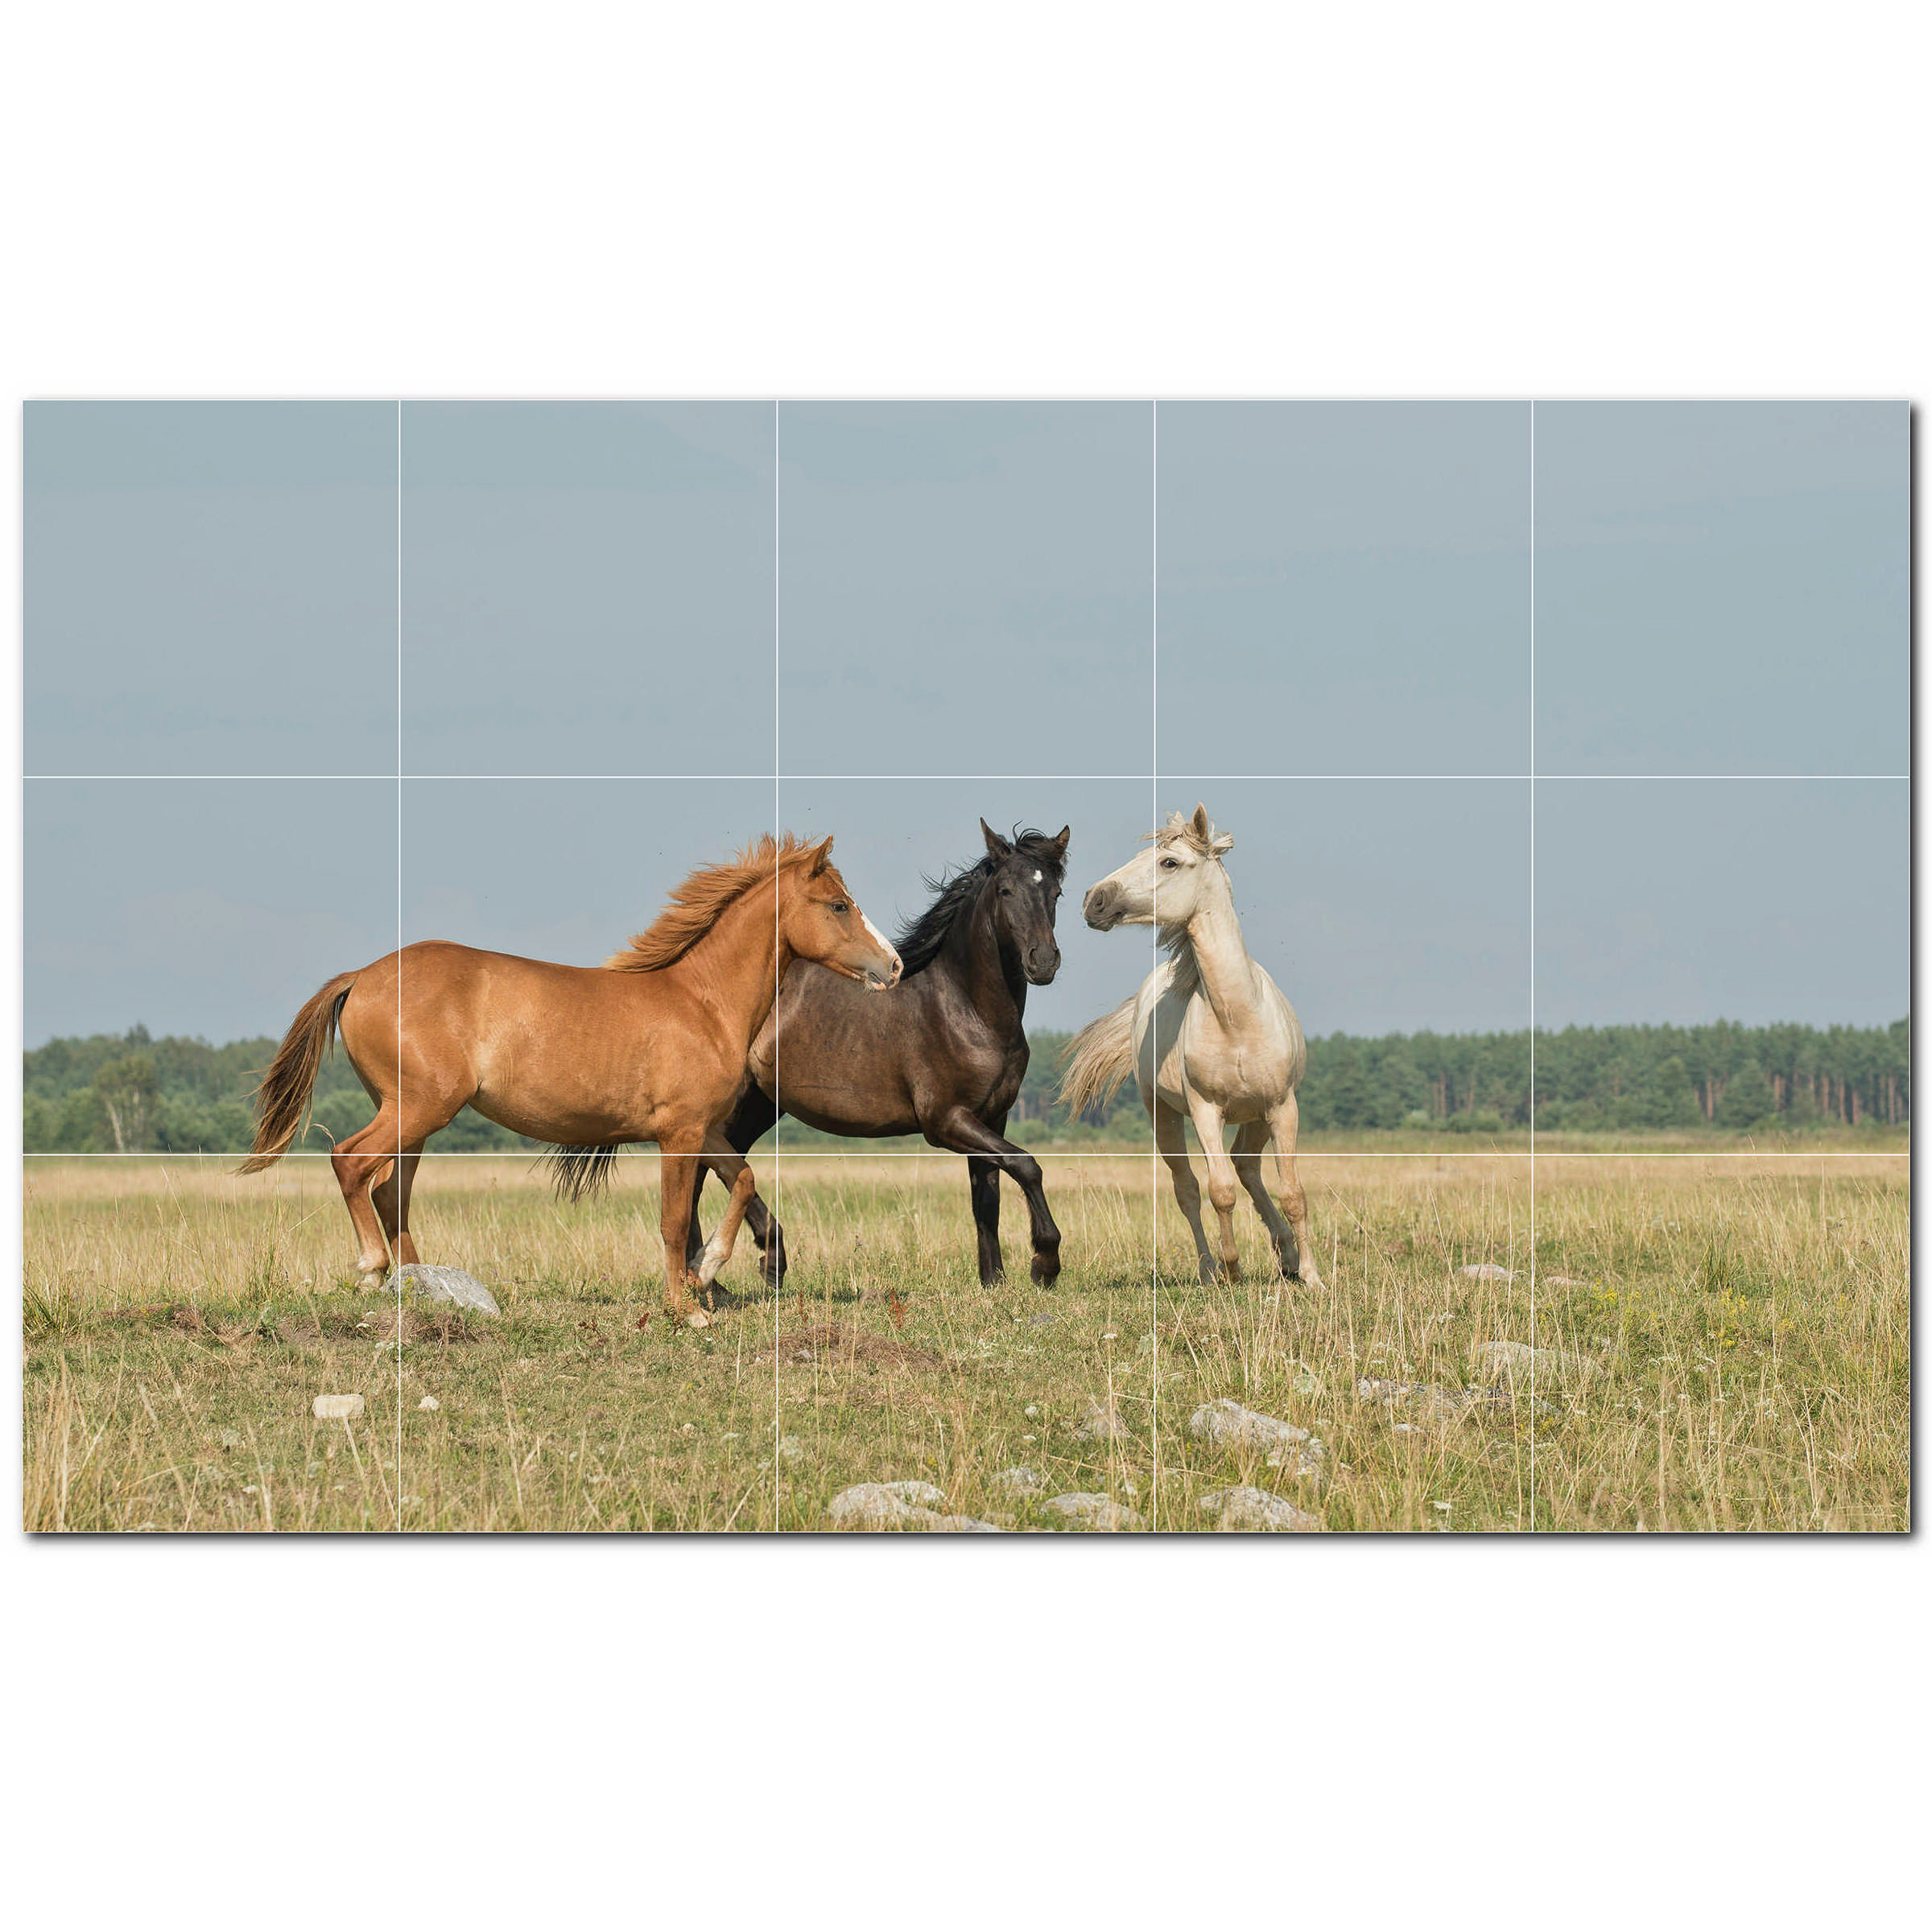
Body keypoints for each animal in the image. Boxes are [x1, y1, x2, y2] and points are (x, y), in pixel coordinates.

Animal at [239, 834, 902, 1324]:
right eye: (839, 905)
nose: (893, 966)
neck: (701, 1002)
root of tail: (362, 976)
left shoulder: (705, 1130)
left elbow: (742, 1182)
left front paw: (708, 1270)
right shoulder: (679, 1134)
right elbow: (672, 1219)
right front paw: (686, 1307)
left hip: (414, 1119)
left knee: (389, 1192)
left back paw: (422, 1287)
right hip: (418, 1109)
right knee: (352, 1163)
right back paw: (374, 1271)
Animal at [686, 821, 1071, 1289]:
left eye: (1055, 892)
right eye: (1006, 890)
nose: (1043, 962)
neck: (965, 1008)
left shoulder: (992, 1117)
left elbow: (987, 1198)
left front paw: (993, 1281)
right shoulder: (946, 1122)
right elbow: (1026, 1165)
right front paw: (1045, 1263)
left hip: (760, 1104)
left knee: (717, 1168)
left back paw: (721, 1275)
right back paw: (744, 1266)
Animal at [1059, 804, 1324, 1290]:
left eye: (1169, 862)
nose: (1094, 899)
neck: (1237, 1018)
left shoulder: (1283, 1107)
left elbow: (1293, 1192)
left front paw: (1313, 1278)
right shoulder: (1205, 1111)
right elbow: (1219, 1192)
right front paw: (1232, 1269)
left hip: (1257, 1116)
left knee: (1247, 1167)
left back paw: (1288, 1256)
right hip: (1163, 1114)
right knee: (1189, 1188)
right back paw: (1209, 1269)